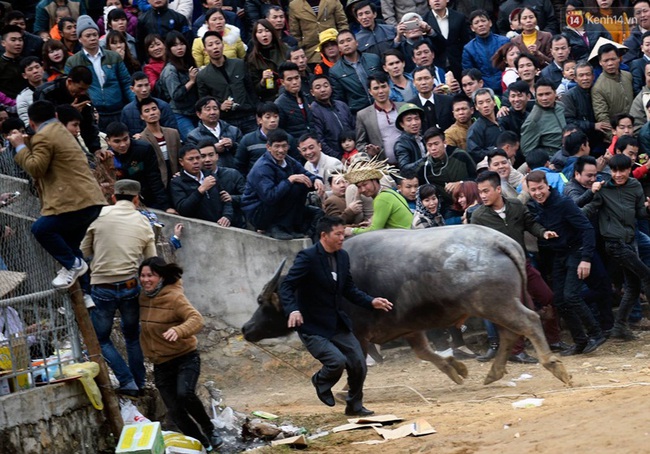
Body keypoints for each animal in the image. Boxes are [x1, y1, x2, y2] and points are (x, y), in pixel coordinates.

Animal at [240, 225, 568, 384]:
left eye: (261, 301)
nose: (246, 328)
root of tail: (502, 242)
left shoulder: (358, 333)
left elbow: (357, 360)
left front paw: (347, 390)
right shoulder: (409, 327)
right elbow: (424, 352)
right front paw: (455, 369)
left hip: (496, 304)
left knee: (528, 322)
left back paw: (554, 366)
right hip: (495, 306)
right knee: (510, 334)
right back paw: (493, 374)